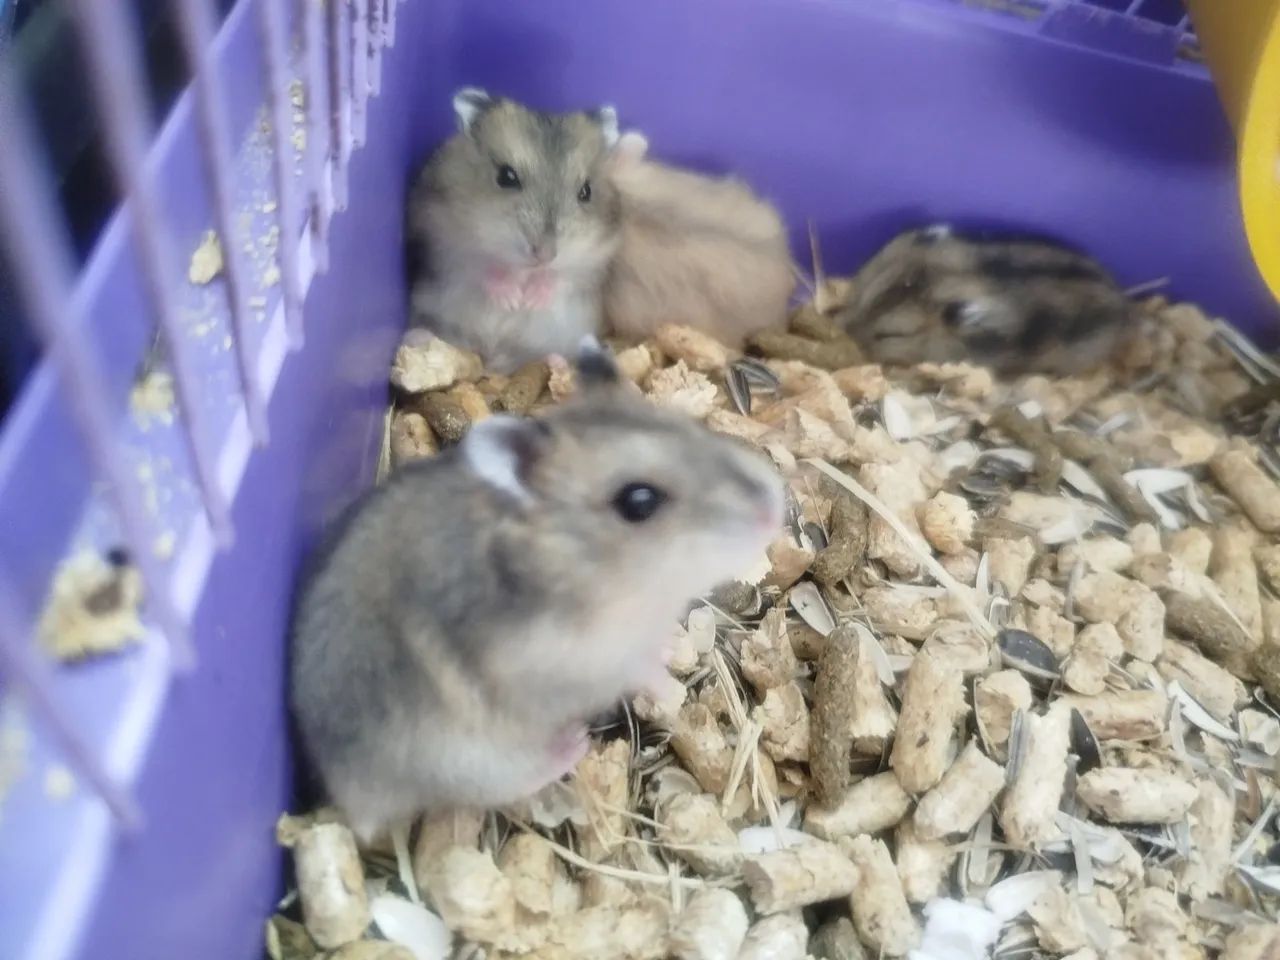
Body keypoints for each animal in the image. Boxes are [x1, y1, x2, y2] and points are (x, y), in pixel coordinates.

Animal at [289, 338, 785, 842]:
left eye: (689, 429)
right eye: (639, 502)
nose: (775, 509)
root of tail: (348, 800)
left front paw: (671, 647)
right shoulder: (576, 664)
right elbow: (640, 671)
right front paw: (671, 693)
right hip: (469, 759)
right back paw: (573, 745)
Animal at [406, 89, 623, 374]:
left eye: (586, 191)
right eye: (506, 177)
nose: (544, 255)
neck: (522, 268)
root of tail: (493, 360)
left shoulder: (595, 261)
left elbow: (563, 276)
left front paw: (529, 299)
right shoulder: (442, 240)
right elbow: (480, 266)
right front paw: (510, 299)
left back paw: (557, 363)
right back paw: (418, 337)